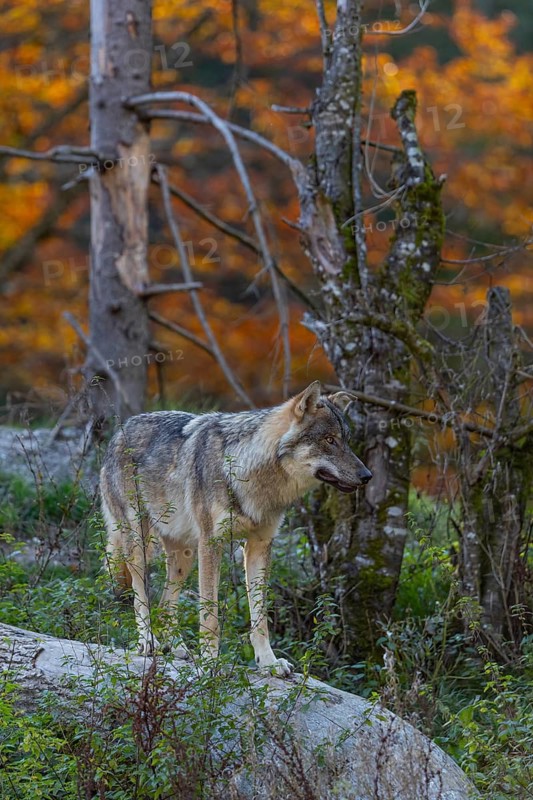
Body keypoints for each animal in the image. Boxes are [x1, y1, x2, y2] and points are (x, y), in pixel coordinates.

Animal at [100, 381, 372, 676]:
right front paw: (210, 663)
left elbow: (260, 617)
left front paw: (269, 662)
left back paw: (178, 647)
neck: (253, 474)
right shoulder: (211, 544)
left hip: (184, 556)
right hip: (141, 544)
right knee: (139, 595)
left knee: (165, 603)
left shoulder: (259, 547)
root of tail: (119, 431)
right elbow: (210, 616)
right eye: (329, 440)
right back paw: (149, 641)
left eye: (346, 440)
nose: (367, 476)